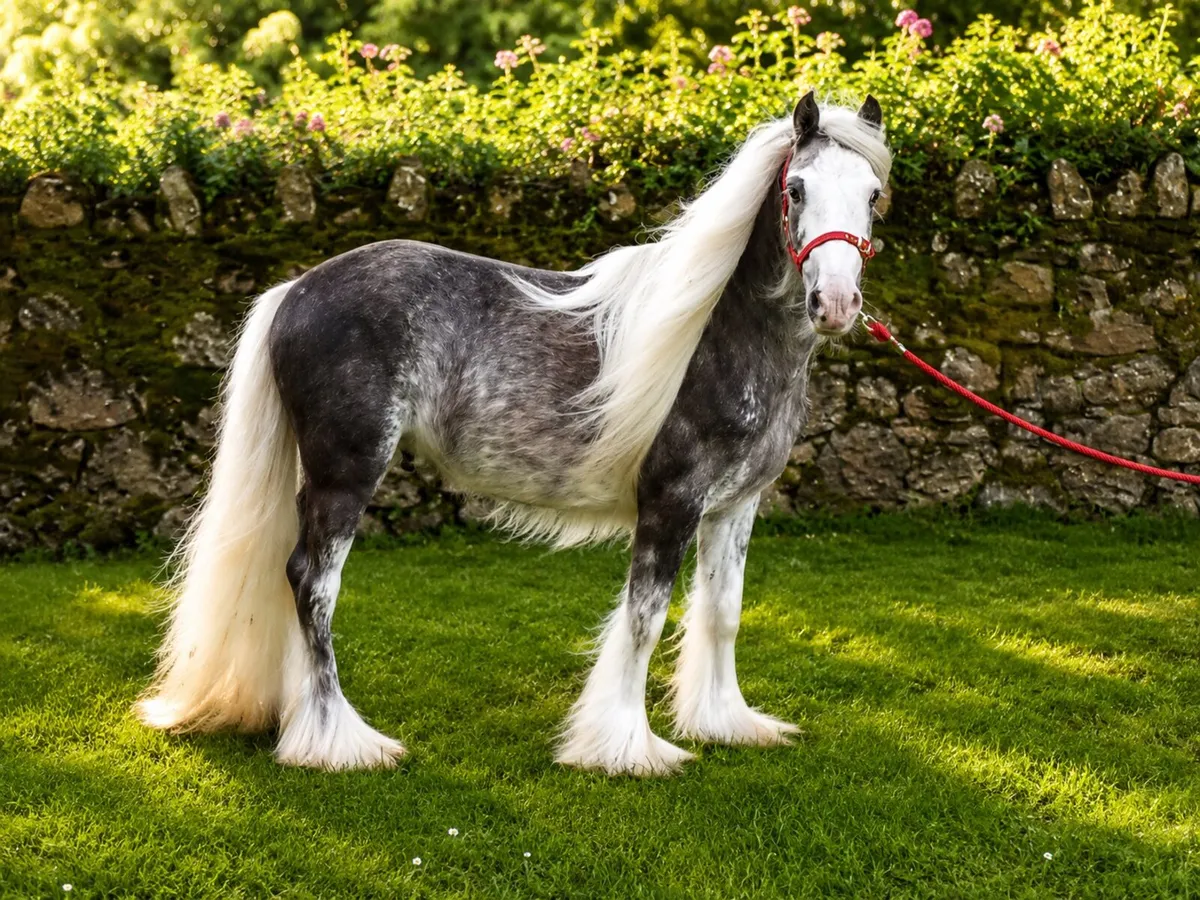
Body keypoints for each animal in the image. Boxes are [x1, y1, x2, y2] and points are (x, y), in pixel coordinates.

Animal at [135, 91, 892, 776]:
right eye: (795, 189)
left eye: (874, 195)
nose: (835, 303)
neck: (717, 333)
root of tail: (294, 290)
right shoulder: (670, 503)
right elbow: (643, 618)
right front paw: (624, 749)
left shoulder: (734, 508)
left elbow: (723, 612)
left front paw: (725, 723)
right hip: (344, 474)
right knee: (313, 583)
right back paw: (339, 742)